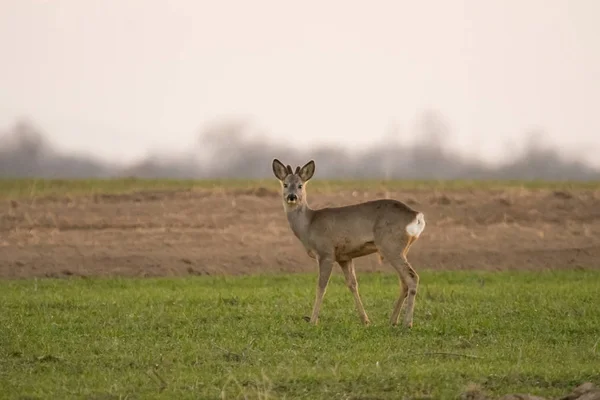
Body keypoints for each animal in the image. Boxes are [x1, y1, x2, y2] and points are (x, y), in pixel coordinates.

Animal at [272, 159, 426, 328]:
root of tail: (416, 215)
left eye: (300, 185)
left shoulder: (326, 252)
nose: (292, 196)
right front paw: (365, 320)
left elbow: (321, 286)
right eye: (285, 184)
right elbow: (352, 284)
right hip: (401, 249)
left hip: (391, 245)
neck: (309, 225)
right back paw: (392, 320)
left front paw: (312, 321)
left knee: (412, 277)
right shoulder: (344, 257)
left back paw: (407, 323)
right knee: (404, 282)